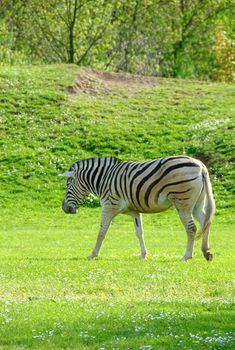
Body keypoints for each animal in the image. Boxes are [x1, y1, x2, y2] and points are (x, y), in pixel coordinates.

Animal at [60, 155, 215, 260]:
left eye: (68, 184)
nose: (63, 208)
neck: (104, 179)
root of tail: (201, 166)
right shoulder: (134, 211)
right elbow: (139, 233)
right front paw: (143, 255)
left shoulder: (109, 206)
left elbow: (102, 231)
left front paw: (93, 254)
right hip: (197, 203)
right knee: (205, 223)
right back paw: (206, 252)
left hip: (183, 202)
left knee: (192, 228)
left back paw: (187, 256)